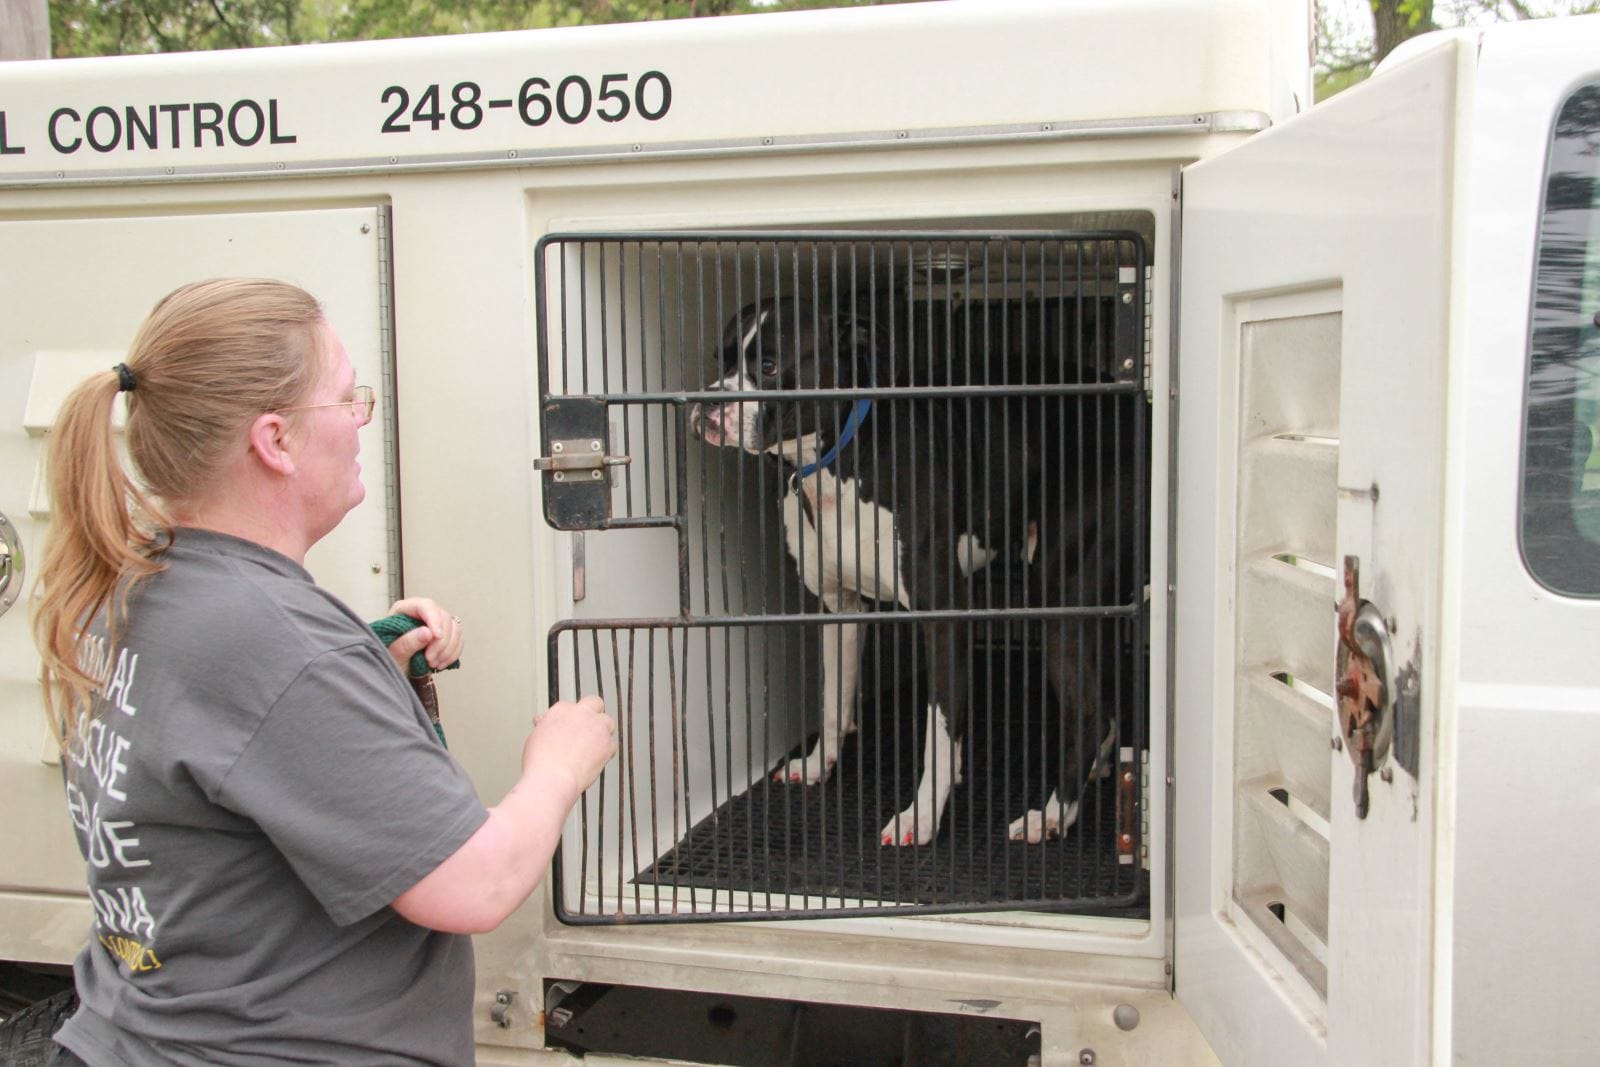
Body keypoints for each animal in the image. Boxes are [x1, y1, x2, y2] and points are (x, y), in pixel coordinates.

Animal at [681, 295, 1132, 844]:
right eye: (719, 360)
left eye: (768, 366)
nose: (706, 402)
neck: (837, 462)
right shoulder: (840, 610)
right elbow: (834, 699)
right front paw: (819, 763)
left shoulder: (943, 617)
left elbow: (937, 733)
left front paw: (922, 815)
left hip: (1060, 592)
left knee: (1085, 709)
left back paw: (1051, 814)